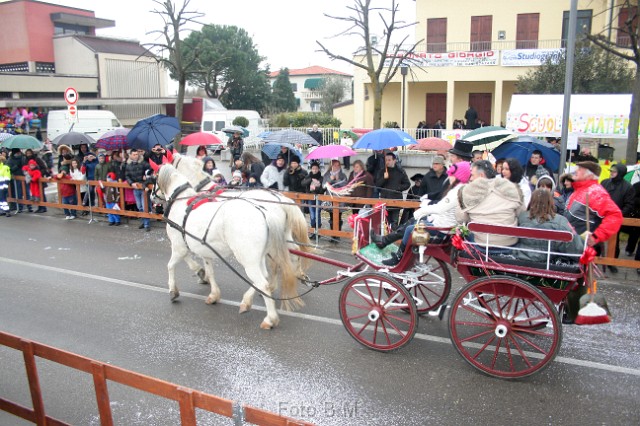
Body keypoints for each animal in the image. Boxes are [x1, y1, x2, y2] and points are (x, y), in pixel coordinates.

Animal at [156, 164, 304, 330]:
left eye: (154, 177)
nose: (152, 196)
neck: (182, 203)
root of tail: (266, 212)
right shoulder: (204, 251)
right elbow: (210, 272)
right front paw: (212, 293)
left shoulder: (179, 247)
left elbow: (171, 266)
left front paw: (173, 290)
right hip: (261, 255)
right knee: (274, 268)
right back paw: (249, 300)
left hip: (249, 260)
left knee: (263, 282)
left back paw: (270, 318)